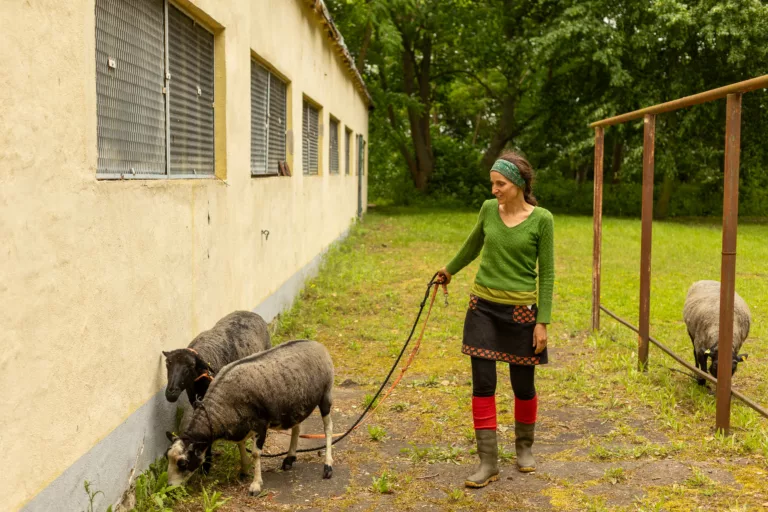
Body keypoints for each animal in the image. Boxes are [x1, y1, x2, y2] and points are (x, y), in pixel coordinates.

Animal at [166, 340, 334, 496]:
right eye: (168, 457)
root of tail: (316, 344)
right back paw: (289, 458)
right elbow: (240, 444)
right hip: (294, 404)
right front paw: (244, 470)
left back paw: (328, 466)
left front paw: (255, 485)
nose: (169, 488)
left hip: (326, 394)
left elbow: (256, 453)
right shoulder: (239, 425)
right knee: (296, 427)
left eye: (182, 463)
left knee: (328, 429)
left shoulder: (261, 424)